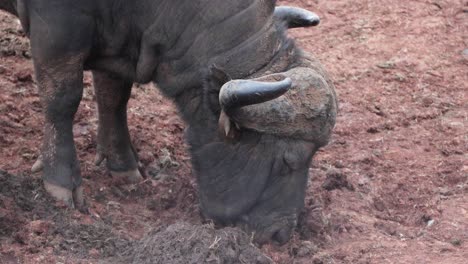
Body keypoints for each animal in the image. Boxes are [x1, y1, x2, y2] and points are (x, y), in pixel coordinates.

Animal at [0, 0, 336, 244]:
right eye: (289, 160)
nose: (280, 234)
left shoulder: (115, 34)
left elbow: (113, 95)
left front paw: (122, 163)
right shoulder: (58, 27)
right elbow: (62, 99)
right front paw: (61, 180)